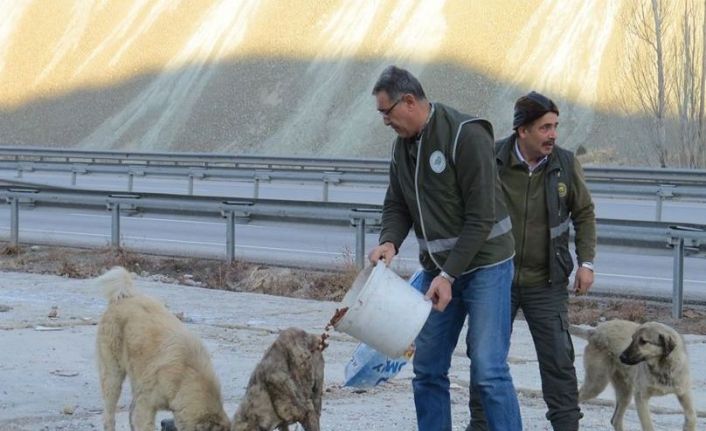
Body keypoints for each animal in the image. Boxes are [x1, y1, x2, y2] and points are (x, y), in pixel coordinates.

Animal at [568, 318, 696, 430]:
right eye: (632, 339)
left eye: (643, 341)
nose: (621, 357)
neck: (662, 368)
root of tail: (595, 331)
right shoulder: (640, 397)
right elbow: (648, 425)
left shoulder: (684, 393)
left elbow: (692, 417)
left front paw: (688, 427)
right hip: (597, 383)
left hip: (625, 392)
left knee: (615, 420)